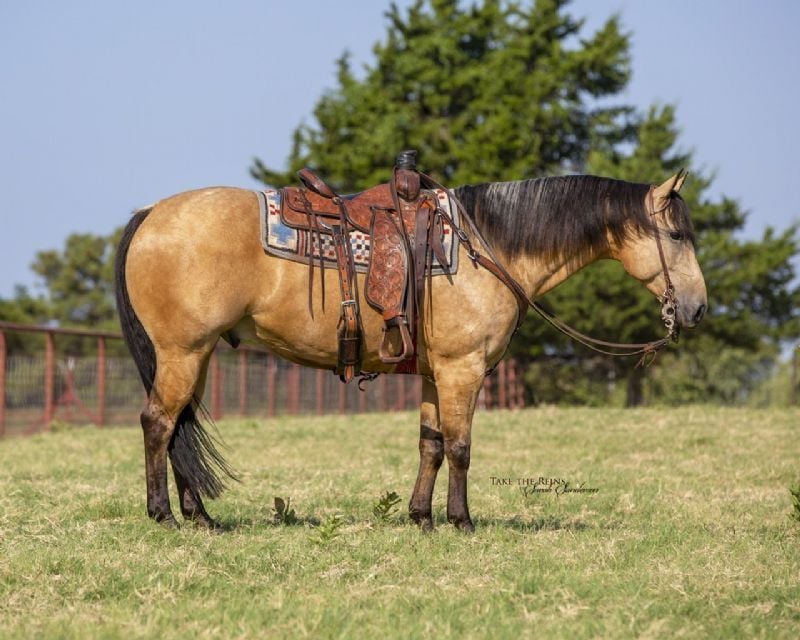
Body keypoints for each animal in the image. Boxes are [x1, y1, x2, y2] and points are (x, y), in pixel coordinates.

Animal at [114, 162, 708, 532]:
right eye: (678, 236)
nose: (699, 308)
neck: (486, 246)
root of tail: (151, 213)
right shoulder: (463, 369)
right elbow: (461, 447)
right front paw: (462, 521)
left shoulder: (432, 373)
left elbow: (431, 444)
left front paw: (421, 517)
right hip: (183, 352)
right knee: (158, 424)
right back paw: (164, 515)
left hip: (196, 355)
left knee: (180, 427)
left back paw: (201, 518)